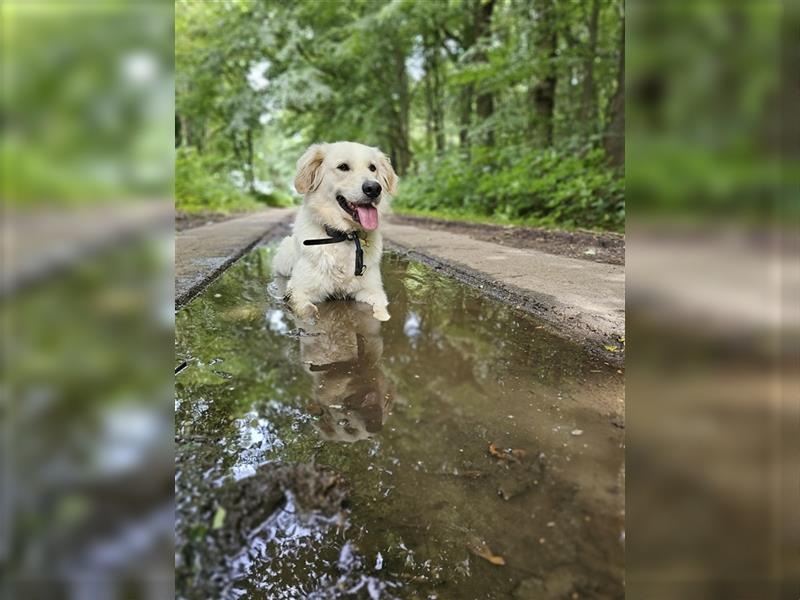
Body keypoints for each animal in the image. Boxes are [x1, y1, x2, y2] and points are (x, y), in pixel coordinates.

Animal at [274, 141, 398, 322]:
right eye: (343, 167)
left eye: (372, 167)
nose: (374, 188)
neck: (344, 236)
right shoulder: (298, 290)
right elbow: (307, 311)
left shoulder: (372, 289)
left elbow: (382, 310)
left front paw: (383, 316)